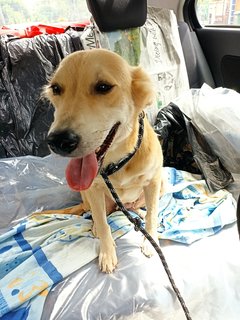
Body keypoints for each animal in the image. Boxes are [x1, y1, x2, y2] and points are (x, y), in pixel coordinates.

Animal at [43, 49, 164, 272]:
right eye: (55, 88)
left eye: (103, 87)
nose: (58, 141)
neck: (118, 162)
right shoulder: (93, 189)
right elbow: (101, 221)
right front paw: (107, 253)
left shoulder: (153, 181)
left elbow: (152, 215)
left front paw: (151, 241)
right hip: (87, 196)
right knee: (97, 215)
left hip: (162, 184)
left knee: (138, 209)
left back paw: (138, 213)